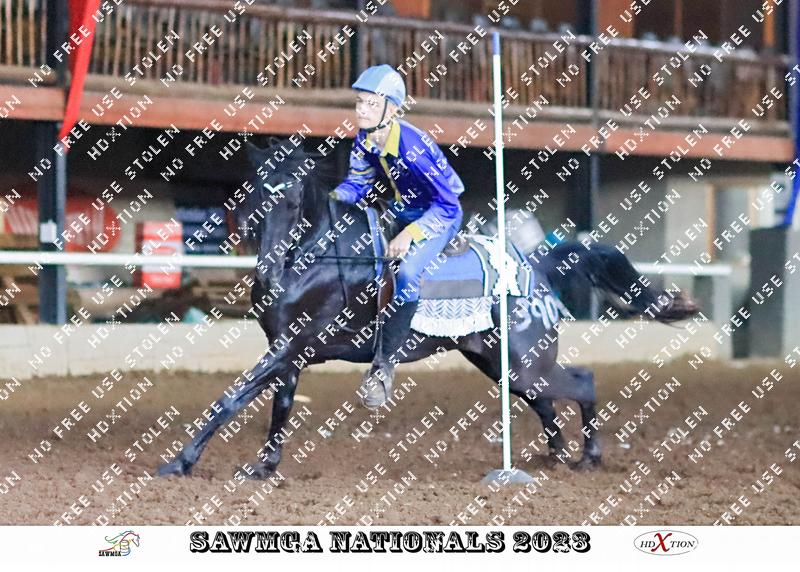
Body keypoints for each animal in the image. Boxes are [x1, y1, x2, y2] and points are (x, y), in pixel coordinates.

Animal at [157, 139, 699, 478]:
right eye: (251, 188)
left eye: (292, 197)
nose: (267, 270)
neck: (316, 255)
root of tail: (535, 264)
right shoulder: (289, 353)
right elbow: (278, 407)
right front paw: (263, 466)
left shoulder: (291, 347)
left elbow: (231, 399)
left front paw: (179, 462)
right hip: (499, 363)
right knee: (546, 401)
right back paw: (555, 456)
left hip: (523, 362)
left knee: (581, 383)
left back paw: (589, 456)